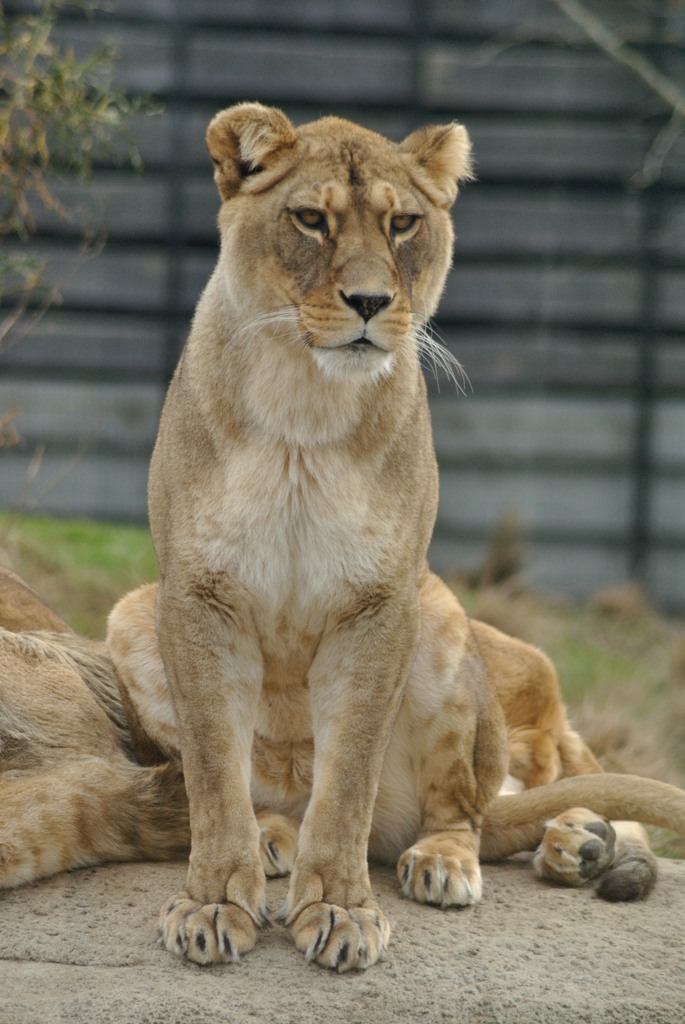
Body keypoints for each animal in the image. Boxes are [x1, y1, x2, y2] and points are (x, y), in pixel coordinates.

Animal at [2, 103, 684, 972]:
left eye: (402, 224)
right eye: (310, 219)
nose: (367, 300)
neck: (306, 400)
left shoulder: (380, 602)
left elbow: (348, 776)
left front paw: (338, 909)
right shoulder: (195, 596)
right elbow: (213, 774)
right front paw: (214, 902)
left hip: (440, 615)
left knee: (465, 812)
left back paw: (455, 859)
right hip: (132, 616)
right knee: (260, 796)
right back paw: (274, 836)